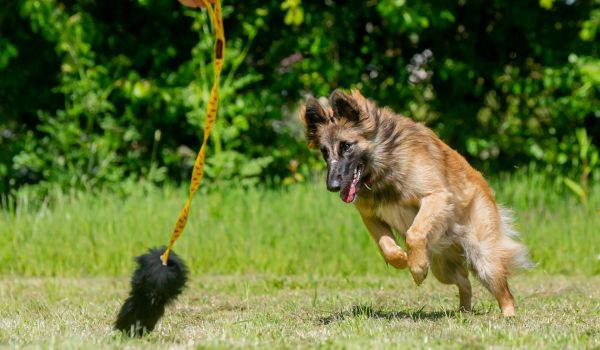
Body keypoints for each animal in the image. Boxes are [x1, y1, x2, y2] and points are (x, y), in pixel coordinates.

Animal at [298, 89, 528, 316]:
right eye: (324, 152)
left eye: (346, 146)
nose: (333, 186)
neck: (385, 162)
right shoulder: (370, 216)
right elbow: (387, 246)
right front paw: (402, 259)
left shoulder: (435, 197)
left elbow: (414, 233)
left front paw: (416, 267)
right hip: (443, 269)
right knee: (465, 282)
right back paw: (463, 311)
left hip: (484, 258)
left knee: (505, 294)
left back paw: (507, 315)